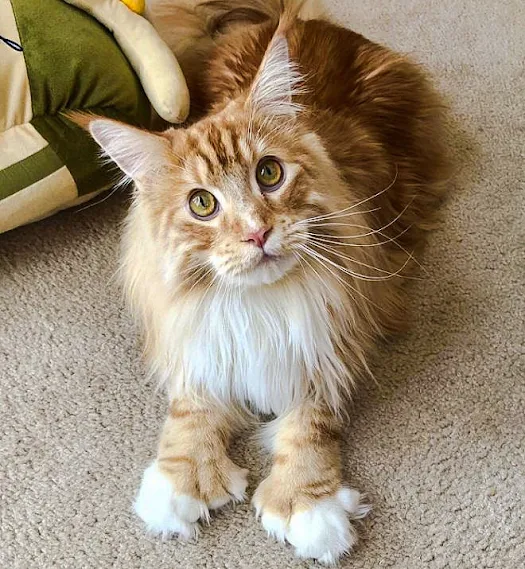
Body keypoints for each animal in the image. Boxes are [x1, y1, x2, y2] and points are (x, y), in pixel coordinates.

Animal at [84, 0, 448, 560]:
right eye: (202, 204)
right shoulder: (199, 349)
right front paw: (177, 486)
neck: (259, 304)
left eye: (269, 174)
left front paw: (308, 506)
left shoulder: (333, 342)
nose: (258, 233)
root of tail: (291, 17)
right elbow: (190, 415)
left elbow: (307, 428)